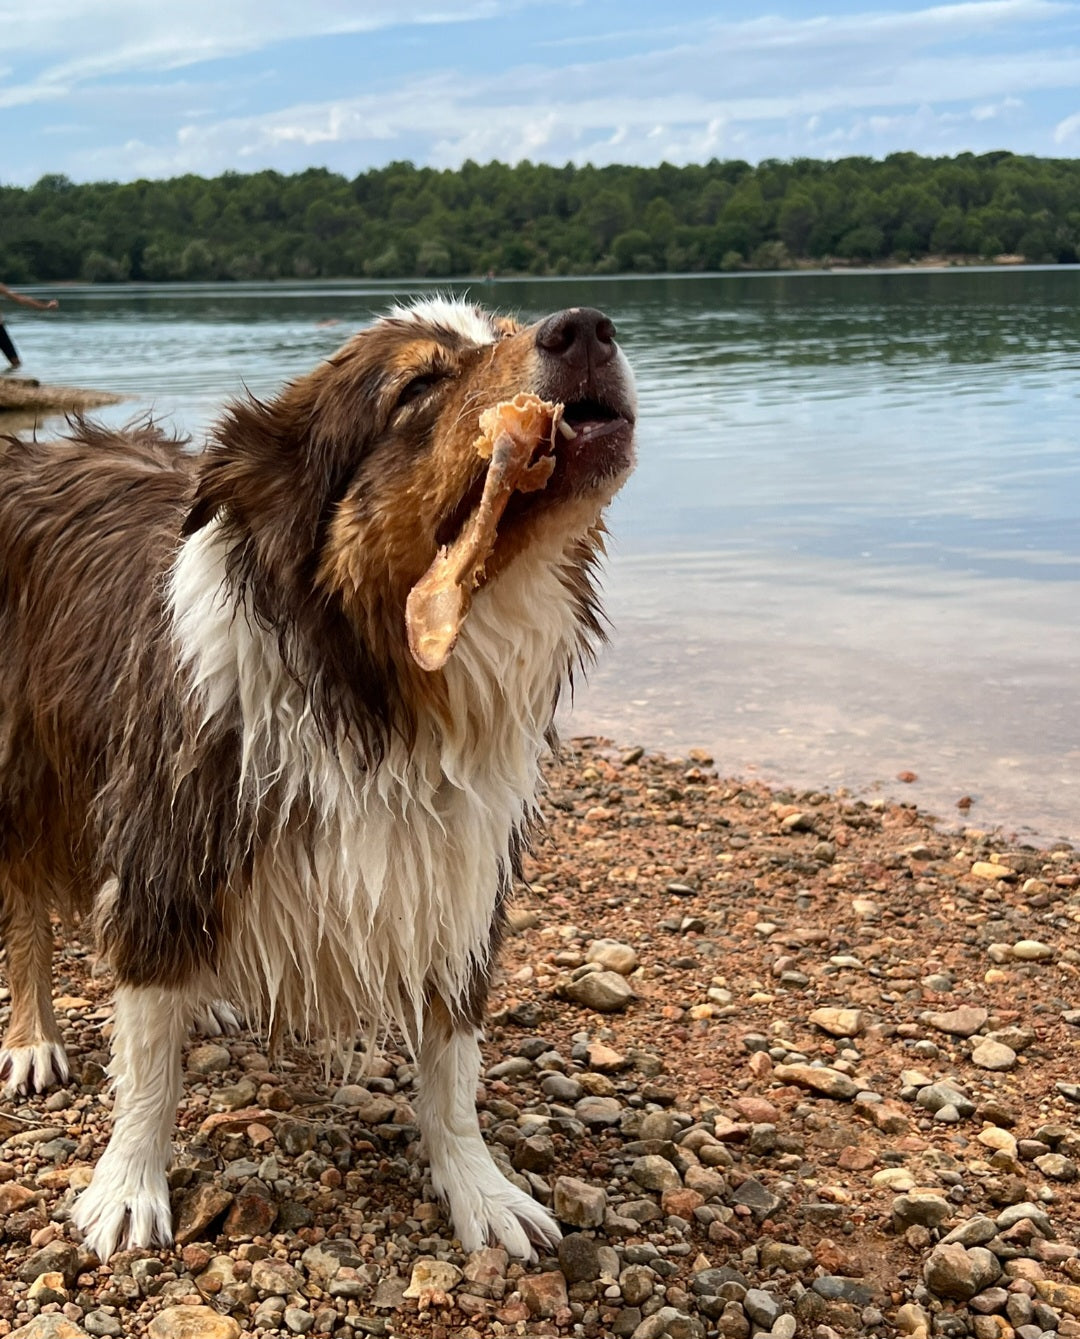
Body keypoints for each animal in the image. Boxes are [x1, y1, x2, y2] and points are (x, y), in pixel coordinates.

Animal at [0, 298, 637, 1258]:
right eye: (418, 385)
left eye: (507, 328)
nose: (588, 325)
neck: (377, 688)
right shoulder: (167, 836)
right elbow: (145, 1065)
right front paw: (128, 1183)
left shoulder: (457, 869)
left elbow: (453, 1067)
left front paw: (479, 1187)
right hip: (23, 767)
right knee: (28, 910)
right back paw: (32, 1035)